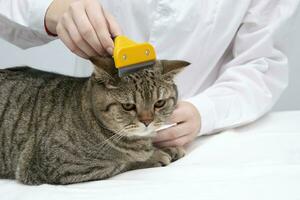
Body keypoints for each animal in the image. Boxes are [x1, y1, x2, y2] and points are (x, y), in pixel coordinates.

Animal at [0, 56, 189, 184]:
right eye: (128, 106)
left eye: (159, 103)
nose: (147, 121)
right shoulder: (59, 166)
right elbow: (124, 162)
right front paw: (154, 155)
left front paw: (167, 147)